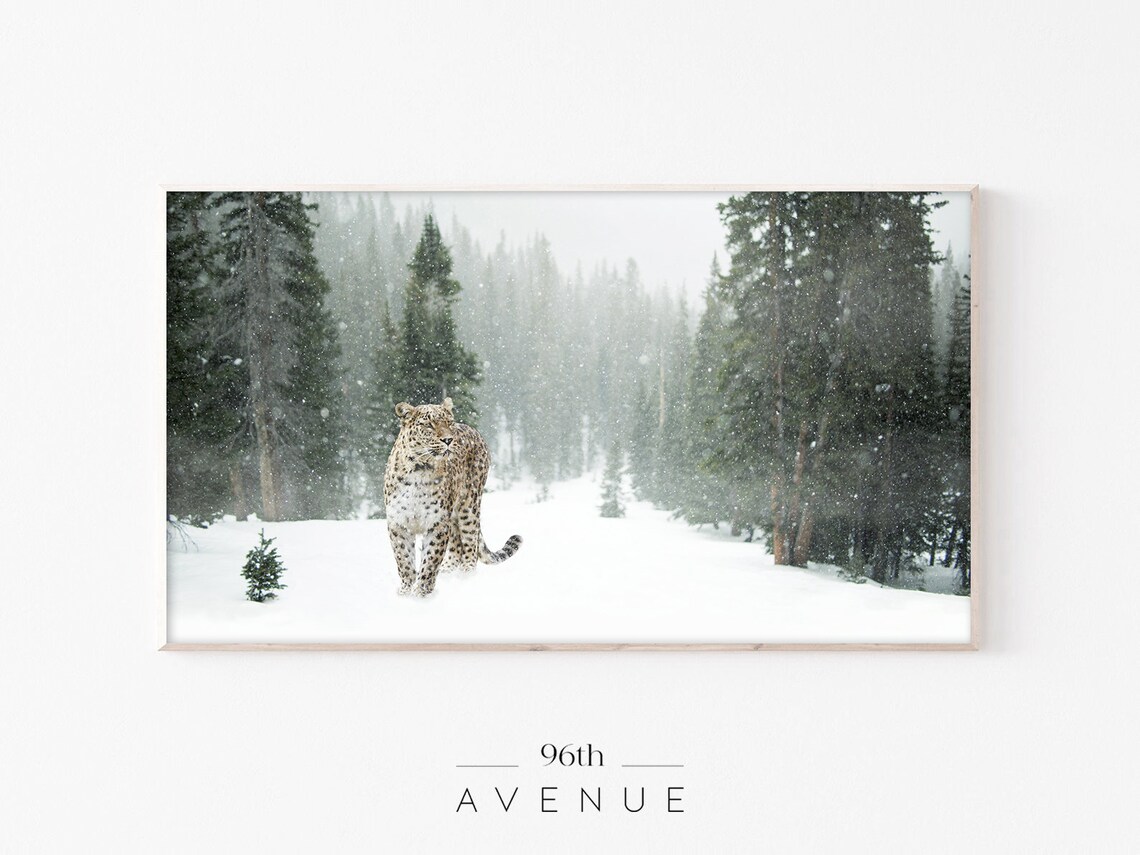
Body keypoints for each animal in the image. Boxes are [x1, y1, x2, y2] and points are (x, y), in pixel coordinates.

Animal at [383, 397, 522, 597]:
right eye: (429, 425)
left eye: (448, 422)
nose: (448, 439)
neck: (419, 470)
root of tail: (474, 430)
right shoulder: (399, 523)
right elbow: (404, 560)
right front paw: (406, 592)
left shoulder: (438, 523)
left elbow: (430, 560)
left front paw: (421, 593)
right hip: (455, 515)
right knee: (457, 546)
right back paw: (448, 572)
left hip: (469, 507)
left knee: (470, 544)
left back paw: (466, 577)